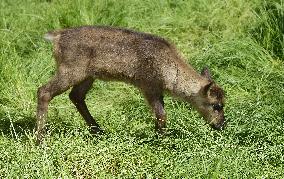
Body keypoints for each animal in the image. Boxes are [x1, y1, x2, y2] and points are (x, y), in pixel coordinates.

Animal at [36, 26, 225, 144]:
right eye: (216, 105)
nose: (222, 125)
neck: (171, 70)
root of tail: (56, 36)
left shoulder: (156, 90)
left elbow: (160, 115)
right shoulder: (149, 86)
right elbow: (161, 115)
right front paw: (163, 142)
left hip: (88, 76)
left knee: (76, 96)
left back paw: (99, 131)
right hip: (70, 70)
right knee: (43, 91)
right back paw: (40, 140)